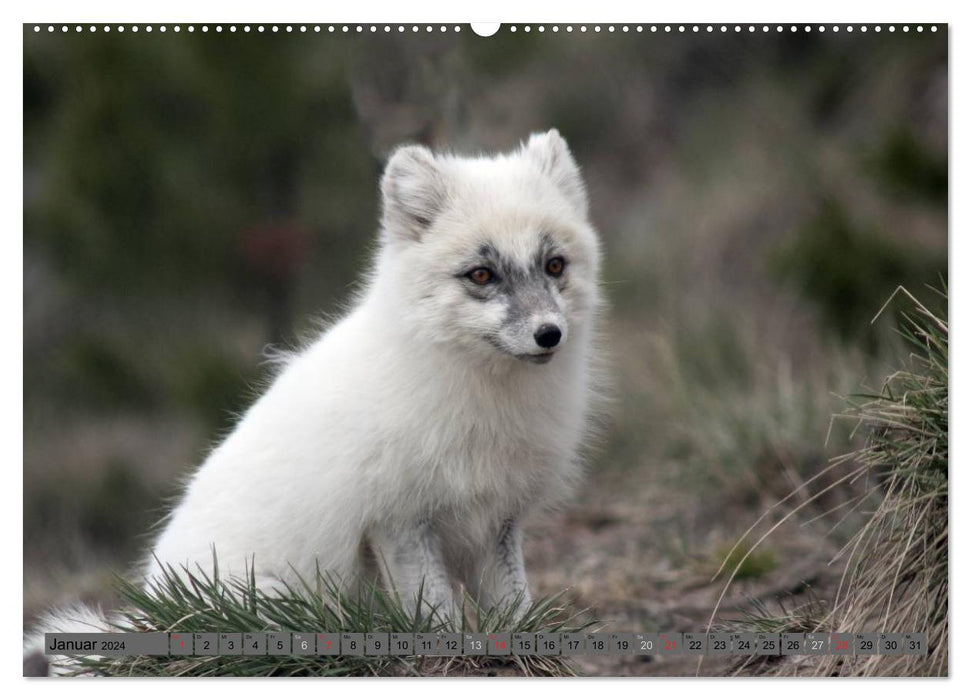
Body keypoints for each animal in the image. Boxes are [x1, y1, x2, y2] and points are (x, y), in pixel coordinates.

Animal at [26, 129, 604, 668]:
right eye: (482, 275)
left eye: (554, 265)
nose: (549, 334)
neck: (486, 401)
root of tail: (149, 617)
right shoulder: (399, 521)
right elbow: (437, 615)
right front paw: (447, 660)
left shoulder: (498, 521)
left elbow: (514, 609)